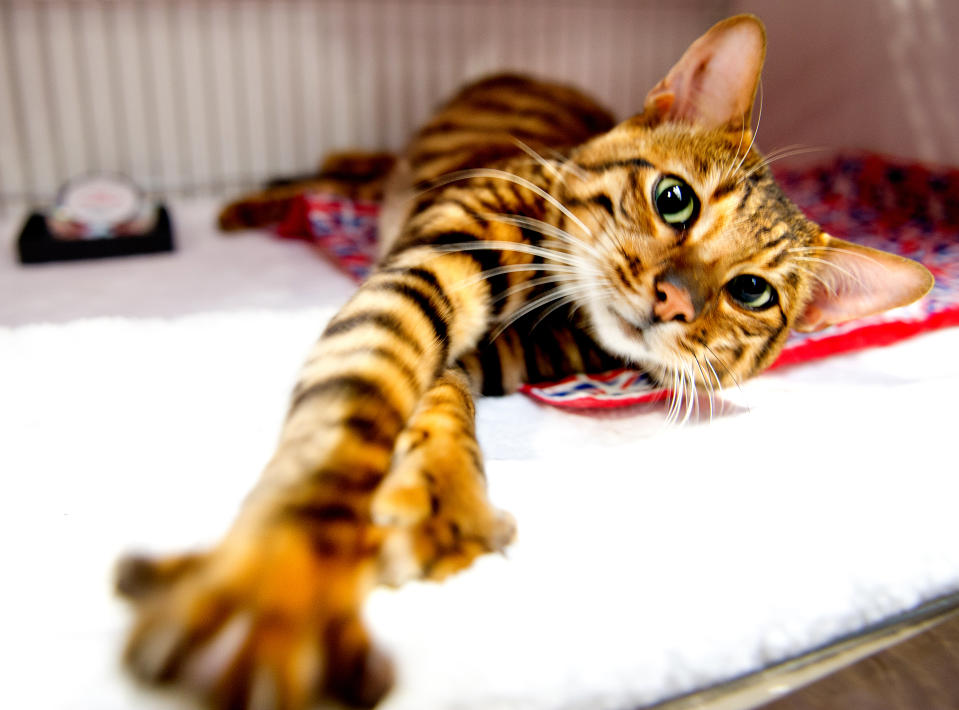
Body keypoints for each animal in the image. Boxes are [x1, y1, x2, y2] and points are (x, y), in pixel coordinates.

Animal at [116, 12, 932, 710]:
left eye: (751, 291)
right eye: (675, 199)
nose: (672, 300)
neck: (561, 304)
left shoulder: (502, 359)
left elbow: (446, 398)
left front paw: (441, 494)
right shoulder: (432, 261)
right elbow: (359, 393)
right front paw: (282, 577)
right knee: (350, 172)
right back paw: (265, 197)